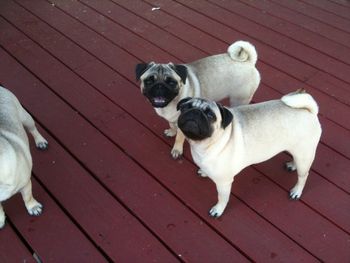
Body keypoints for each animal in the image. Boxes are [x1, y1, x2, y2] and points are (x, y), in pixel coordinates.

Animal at [0, 86, 47, 229]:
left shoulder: (25, 183)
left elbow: (27, 197)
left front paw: (33, 207)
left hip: (25, 117)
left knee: (33, 129)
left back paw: (40, 141)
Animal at [178, 91, 322, 219]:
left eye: (210, 115)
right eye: (186, 107)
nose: (195, 112)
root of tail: (309, 111)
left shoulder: (224, 183)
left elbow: (222, 198)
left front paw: (218, 210)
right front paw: (204, 172)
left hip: (304, 154)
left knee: (303, 176)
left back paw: (297, 191)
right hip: (298, 151)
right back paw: (292, 165)